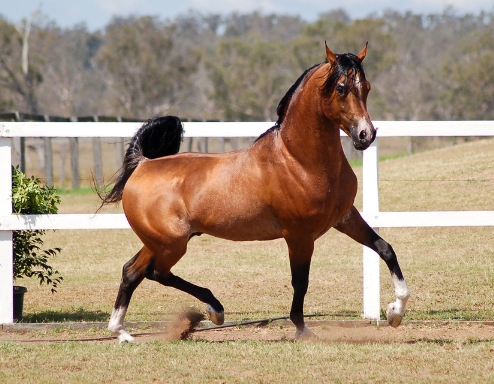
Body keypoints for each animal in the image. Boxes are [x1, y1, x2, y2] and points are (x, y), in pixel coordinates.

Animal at [99, 42, 410, 342]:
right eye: (342, 87)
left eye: (366, 86)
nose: (365, 135)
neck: (298, 161)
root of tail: (144, 164)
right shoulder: (299, 235)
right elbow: (301, 282)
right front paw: (302, 329)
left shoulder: (344, 218)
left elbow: (385, 249)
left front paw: (395, 312)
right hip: (171, 244)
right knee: (154, 272)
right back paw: (213, 310)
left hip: (162, 242)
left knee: (132, 271)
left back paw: (122, 332)